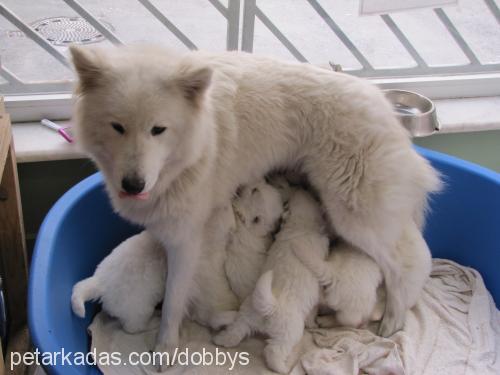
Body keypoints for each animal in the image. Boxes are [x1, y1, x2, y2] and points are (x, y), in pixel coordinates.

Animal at [71, 45, 442, 354]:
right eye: (117, 127)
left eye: (157, 129)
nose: (133, 185)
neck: (196, 143)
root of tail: (383, 105)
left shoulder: (185, 242)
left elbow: (173, 303)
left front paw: (165, 349)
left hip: (354, 217)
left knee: (401, 265)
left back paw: (391, 321)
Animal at [214, 192, 328, 374]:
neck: (301, 225)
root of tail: (269, 308)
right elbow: (313, 312)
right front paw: (313, 323)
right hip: (290, 332)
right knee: (274, 350)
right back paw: (281, 368)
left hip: (246, 315)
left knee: (236, 330)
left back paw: (221, 340)